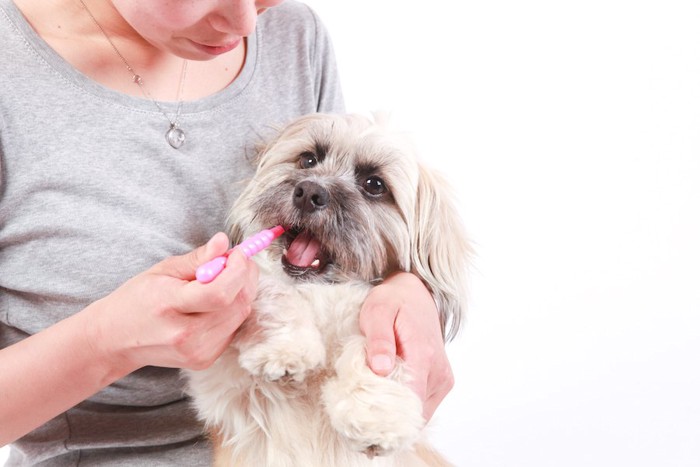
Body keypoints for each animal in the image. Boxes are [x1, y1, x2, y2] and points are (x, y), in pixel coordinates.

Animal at [186, 113, 470, 467]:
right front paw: (285, 349)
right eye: (308, 159)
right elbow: (272, 290)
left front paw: (376, 416)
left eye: (375, 185)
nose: (309, 191)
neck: (323, 293)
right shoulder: (220, 381)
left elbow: (376, 354)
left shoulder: (378, 325)